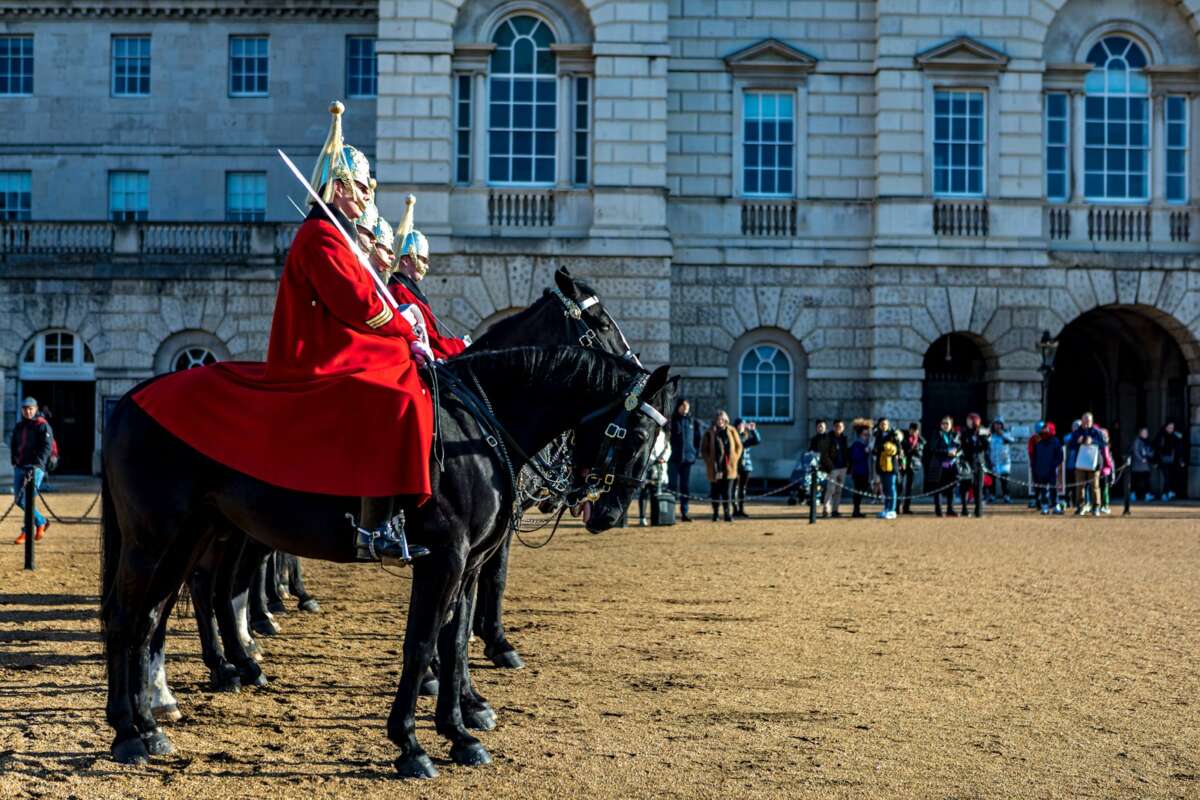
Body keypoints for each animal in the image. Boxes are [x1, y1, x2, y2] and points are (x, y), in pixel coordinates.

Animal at [100, 345, 676, 777]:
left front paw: (459, 732)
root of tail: (131, 397)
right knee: (130, 619)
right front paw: (411, 744)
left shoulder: (469, 564)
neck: (477, 427)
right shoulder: (444, 559)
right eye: (639, 435)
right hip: (157, 540)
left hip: (190, 537)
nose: (610, 512)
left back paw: (154, 721)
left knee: (155, 617)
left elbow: (455, 641)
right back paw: (131, 729)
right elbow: (421, 644)